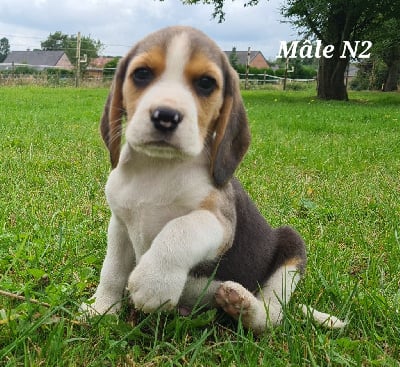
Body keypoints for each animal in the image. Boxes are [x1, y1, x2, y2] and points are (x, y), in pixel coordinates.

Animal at [80, 25, 344, 330]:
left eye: (206, 83)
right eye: (142, 74)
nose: (166, 116)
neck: (158, 167)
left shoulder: (220, 222)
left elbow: (182, 228)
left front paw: (154, 283)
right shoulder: (120, 225)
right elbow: (111, 270)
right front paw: (102, 309)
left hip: (291, 247)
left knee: (272, 316)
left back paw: (244, 306)